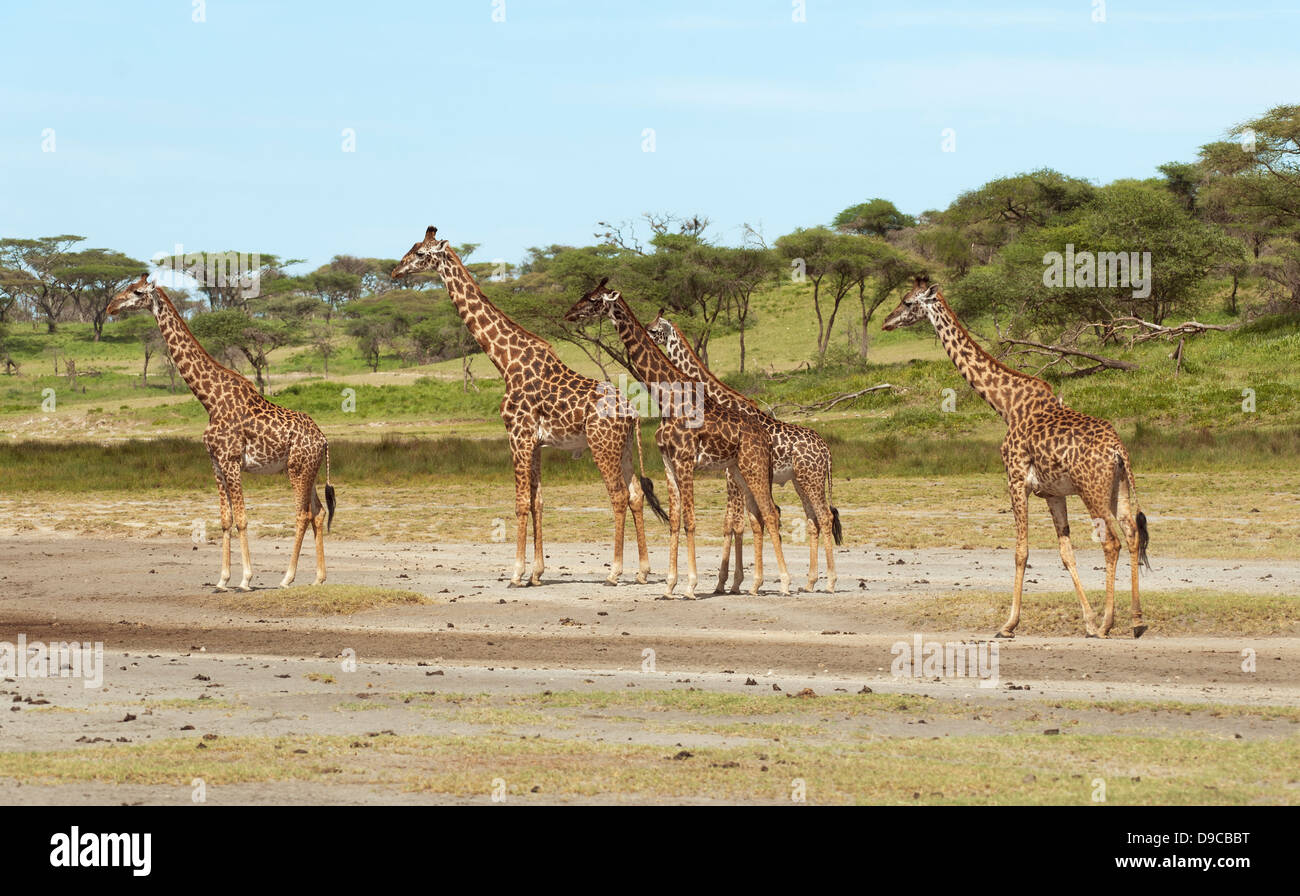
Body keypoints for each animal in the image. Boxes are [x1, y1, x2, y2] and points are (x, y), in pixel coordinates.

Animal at [106, 274, 335, 592]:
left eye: (137, 292)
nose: (110, 307)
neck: (209, 400)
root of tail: (323, 439)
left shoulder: (231, 461)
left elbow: (242, 519)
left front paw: (246, 579)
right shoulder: (215, 462)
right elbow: (225, 520)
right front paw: (223, 579)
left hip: (297, 469)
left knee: (302, 513)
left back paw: (287, 577)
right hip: (308, 470)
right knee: (319, 512)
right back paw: (318, 578)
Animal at [390, 227, 665, 582]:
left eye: (421, 254)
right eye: (412, 248)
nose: (396, 271)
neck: (505, 360)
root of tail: (631, 412)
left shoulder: (517, 435)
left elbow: (521, 502)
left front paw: (517, 573)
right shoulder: (535, 442)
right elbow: (538, 501)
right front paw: (537, 571)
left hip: (601, 445)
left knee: (617, 495)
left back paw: (615, 571)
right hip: (625, 447)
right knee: (635, 494)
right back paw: (643, 570)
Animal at [561, 278, 790, 600]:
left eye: (594, 299)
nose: (569, 314)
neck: (666, 400)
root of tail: (765, 435)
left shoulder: (685, 459)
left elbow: (691, 521)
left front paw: (691, 586)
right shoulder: (668, 462)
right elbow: (674, 520)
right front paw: (670, 585)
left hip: (753, 465)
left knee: (770, 513)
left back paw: (784, 582)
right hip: (738, 471)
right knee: (758, 516)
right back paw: (756, 585)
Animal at [647, 310, 842, 590]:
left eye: (654, 330)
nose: (646, 336)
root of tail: (826, 450)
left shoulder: (732, 475)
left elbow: (736, 523)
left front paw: (731, 582)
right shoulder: (732, 474)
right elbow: (736, 522)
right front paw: (729, 582)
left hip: (812, 479)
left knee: (825, 517)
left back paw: (829, 582)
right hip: (801, 481)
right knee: (813, 520)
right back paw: (810, 582)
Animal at [878, 278, 1154, 637]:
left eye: (908, 302)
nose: (886, 321)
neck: (1006, 405)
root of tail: (1118, 450)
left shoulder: (1016, 480)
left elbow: (1021, 551)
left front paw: (1009, 624)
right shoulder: (1052, 493)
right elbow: (1066, 553)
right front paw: (1088, 619)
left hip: (1092, 490)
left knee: (1112, 542)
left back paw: (1109, 623)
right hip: (1118, 487)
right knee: (1132, 535)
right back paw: (1135, 620)